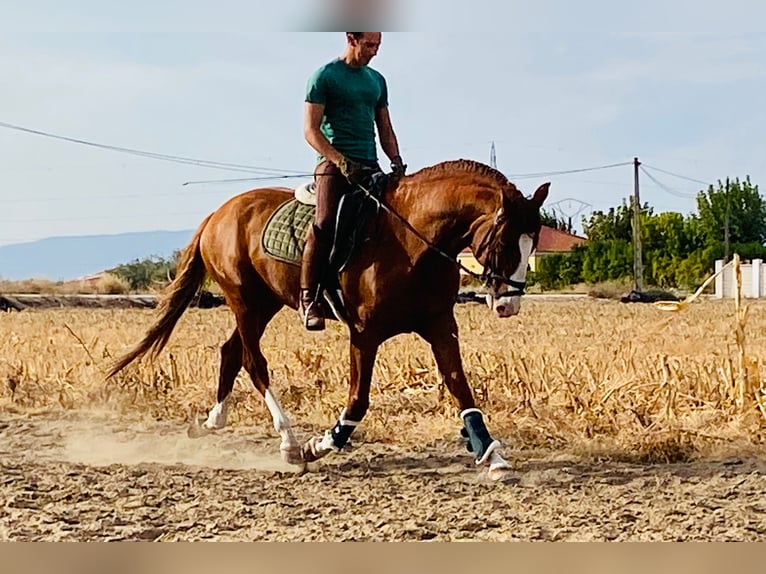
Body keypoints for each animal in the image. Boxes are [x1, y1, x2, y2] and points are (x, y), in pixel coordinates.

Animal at [108, 159, 552, 482]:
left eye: (533, 242)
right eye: (505, 241)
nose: (509, 304)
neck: (414, 242)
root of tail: (218, 213)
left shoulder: (441, 326)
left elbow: (461, 388)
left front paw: (491, 455)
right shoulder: (365, 334)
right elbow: (358, 400)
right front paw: (319, 445)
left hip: (265, 302)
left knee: (231, 351)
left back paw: (213, 421)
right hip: (244, 301)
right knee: (253, 362)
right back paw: (290, 443)